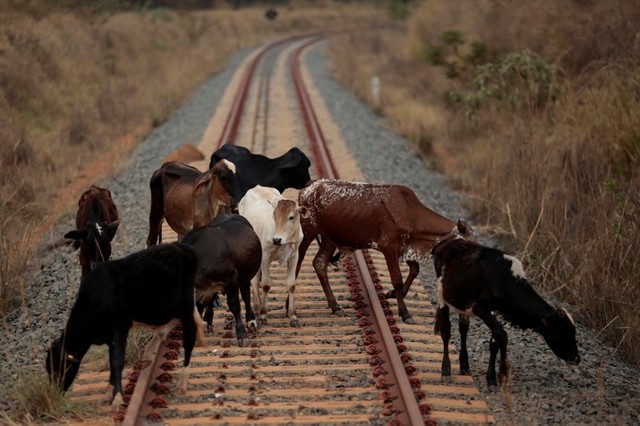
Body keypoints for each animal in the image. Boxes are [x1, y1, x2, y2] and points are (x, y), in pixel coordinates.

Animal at [47, 243, 202, 406]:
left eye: (59, 368)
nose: (55, 394)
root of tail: (181, 245)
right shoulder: (109, 335)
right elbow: (111, 360)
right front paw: (109, 392)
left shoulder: (120, 326)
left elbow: (117, 361)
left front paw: (117, 398)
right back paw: (150, 350)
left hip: (185, 304)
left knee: (189, 337)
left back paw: (182, 382)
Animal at [179, 213, 262, 346]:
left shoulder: (231, 278)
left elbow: (234, 305)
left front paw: (242, 335)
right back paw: (207, 321)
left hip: (245, 276)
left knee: (246, 296)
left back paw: (251, 321)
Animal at [239, 185, 306, 328]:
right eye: (274, 216)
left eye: (291, 217)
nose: (276, 239)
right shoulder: (265, 258)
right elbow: (265, 285)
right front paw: (264, 314)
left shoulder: (294, 257)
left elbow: (291, 285)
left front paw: (293, 317)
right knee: (254, 281)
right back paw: (257, 308)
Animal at [296, 179, 476, 322]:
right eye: (465, 246)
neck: (411, 213)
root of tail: (310, 185)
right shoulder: (389, 248)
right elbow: (397, 279)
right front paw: (404, 313)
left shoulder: (404, 248)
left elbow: (414, 270)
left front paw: (393, 294)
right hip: (307, 232)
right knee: (297, 262)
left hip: (329, 240)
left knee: (319, 264)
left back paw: (335, 306)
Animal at [432, 238, 584, 392]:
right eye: (562, 332)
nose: (576, 358)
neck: (503, 278)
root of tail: (448, 241)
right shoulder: (481, 308)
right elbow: (502, 336)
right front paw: (502, 374)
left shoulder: (497, 311)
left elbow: (495, 342)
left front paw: (492, 378)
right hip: (441, 296)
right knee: (446, 332)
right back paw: (446, 371)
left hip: (463, 303)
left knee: (463, 329)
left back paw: (464, 365)